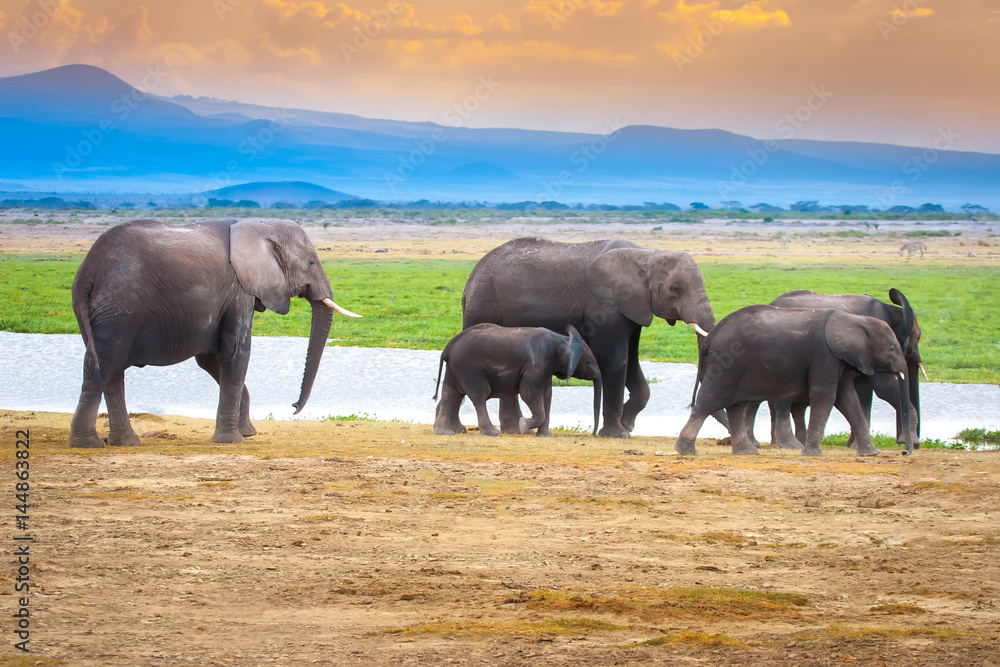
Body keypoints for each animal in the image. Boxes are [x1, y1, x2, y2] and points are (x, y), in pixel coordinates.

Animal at [68, 219, 360, 448]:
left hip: (103, 313)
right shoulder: (238, 289)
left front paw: (247, 432)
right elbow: (236, 351)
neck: (260, 226)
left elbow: (212, 358)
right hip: (119, 309)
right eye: (310, 262)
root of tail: (87, 271)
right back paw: (88, 443)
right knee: (103, 366)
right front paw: (233, 440)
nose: (293, 407)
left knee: (108, 371)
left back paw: (126, 442)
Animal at [432, 324, 602, 437]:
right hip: (468, 368)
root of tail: (448, 348)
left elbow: (547, 395)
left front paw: (545, 435)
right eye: (588, 362)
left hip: (456, 368)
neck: (563, 339)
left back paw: (445, 432)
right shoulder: (537, 364)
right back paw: (492, 433)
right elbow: (529, 393)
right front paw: (523, 425)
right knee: (479, 394)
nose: (594, 434)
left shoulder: (547, 368)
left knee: (451, 394)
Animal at [462, 237, 715, 438]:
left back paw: (513, 429)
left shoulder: (634, 308)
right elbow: (617, 359)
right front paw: (618, 434)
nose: (690, 404)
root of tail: (471, 277)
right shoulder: (606, 306)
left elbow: (632, 360)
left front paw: (627, 425)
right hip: (483, 308)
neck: (648, 254)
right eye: (675, 289)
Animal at [673, 305, 912, 457]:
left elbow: (847, 399)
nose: (903, 451)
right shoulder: (824, 356)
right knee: (708, 401)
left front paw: (871, 454)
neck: (855, 320)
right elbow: (825, 397)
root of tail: (710, 337)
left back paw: (747, 452)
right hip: (727, 363)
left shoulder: (840, 358)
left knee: (735, 406)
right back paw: (685, 451)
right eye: (892, 348)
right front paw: (813, 454)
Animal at [750, 288, 923, 451]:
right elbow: (884, 388)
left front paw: (852, 446)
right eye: (919, 337)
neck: (895, 310)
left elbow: (863, 390)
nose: (906, 446)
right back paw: (788, 445)